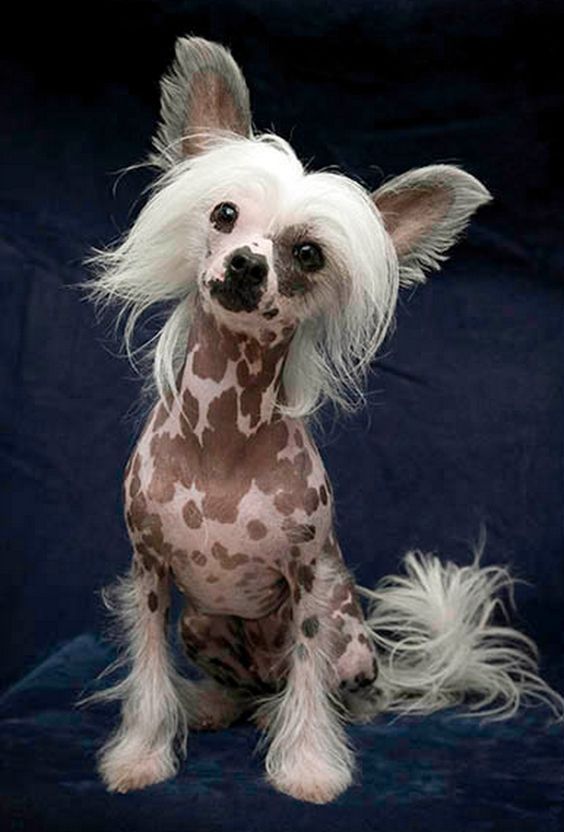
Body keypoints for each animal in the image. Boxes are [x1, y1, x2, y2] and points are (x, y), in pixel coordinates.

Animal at [83, 35, 564, 804]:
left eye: (307, 254)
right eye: (224, 215)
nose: (247, 266)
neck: (223, 441)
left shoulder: (310, 584)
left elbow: (308, 688)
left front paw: (310, 768)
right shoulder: (150, 579)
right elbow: (148, 677)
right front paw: (141, 758)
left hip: (349, 632)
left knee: (325, 688)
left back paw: (323, 711)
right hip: (205, 624)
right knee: (243, 686)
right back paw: (218, 704)